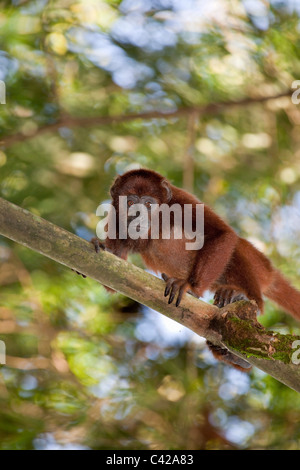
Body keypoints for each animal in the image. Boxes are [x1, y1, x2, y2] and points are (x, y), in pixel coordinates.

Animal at [90, 169, 300, 370]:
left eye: (149, 204)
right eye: (130, 202)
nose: (137, 216)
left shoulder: (182, 201)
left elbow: (222, 234)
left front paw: (190, 286)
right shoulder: (115, 216)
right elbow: (113, 274)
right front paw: (103, 248)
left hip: (257, 265)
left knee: (237, 247)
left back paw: (239, 296)